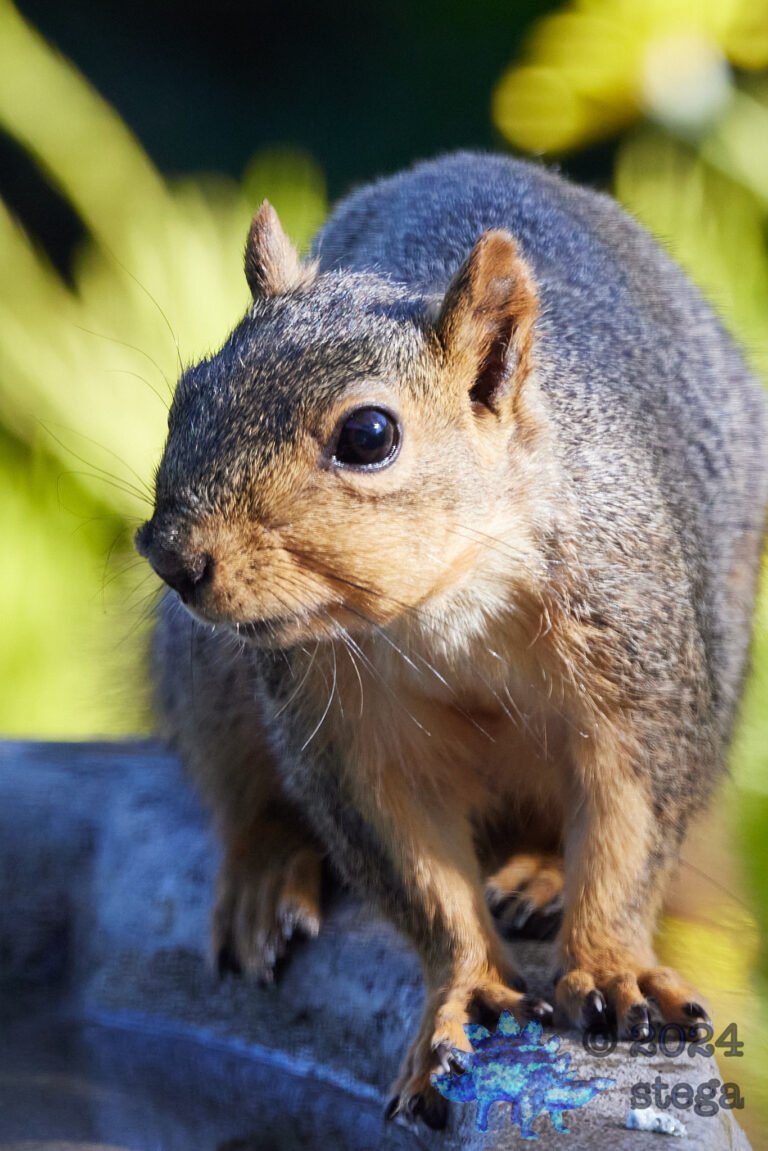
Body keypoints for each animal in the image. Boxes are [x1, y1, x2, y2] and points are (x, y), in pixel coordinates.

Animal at [137, 151, 768, 1130]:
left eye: (369, 434)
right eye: (185, 397)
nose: (171, 554)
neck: (441, 604)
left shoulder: (639, 662)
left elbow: (630, 830)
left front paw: (613, 967)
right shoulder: (344, 734)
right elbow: (419, 876)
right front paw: (465, 995)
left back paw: (541, 872)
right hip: (207, 675)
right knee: (240, 786)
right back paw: (267, 869)